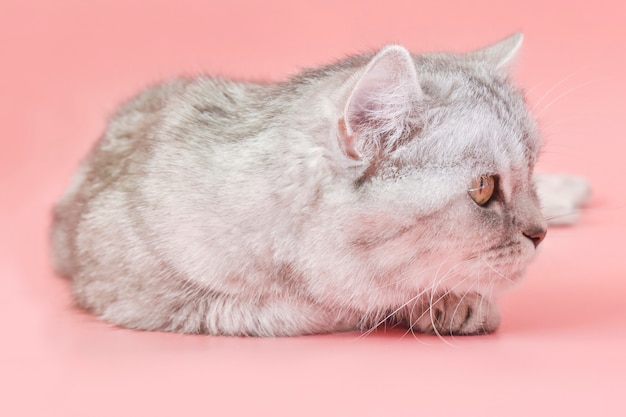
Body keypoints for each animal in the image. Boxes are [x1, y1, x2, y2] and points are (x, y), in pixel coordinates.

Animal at [52, 34, 584, 336]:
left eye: (530, 171)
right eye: (482, 189)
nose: (540, 235)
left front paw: (453, 301)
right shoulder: (169, 301)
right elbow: (341, 307)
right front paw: (441, 302)